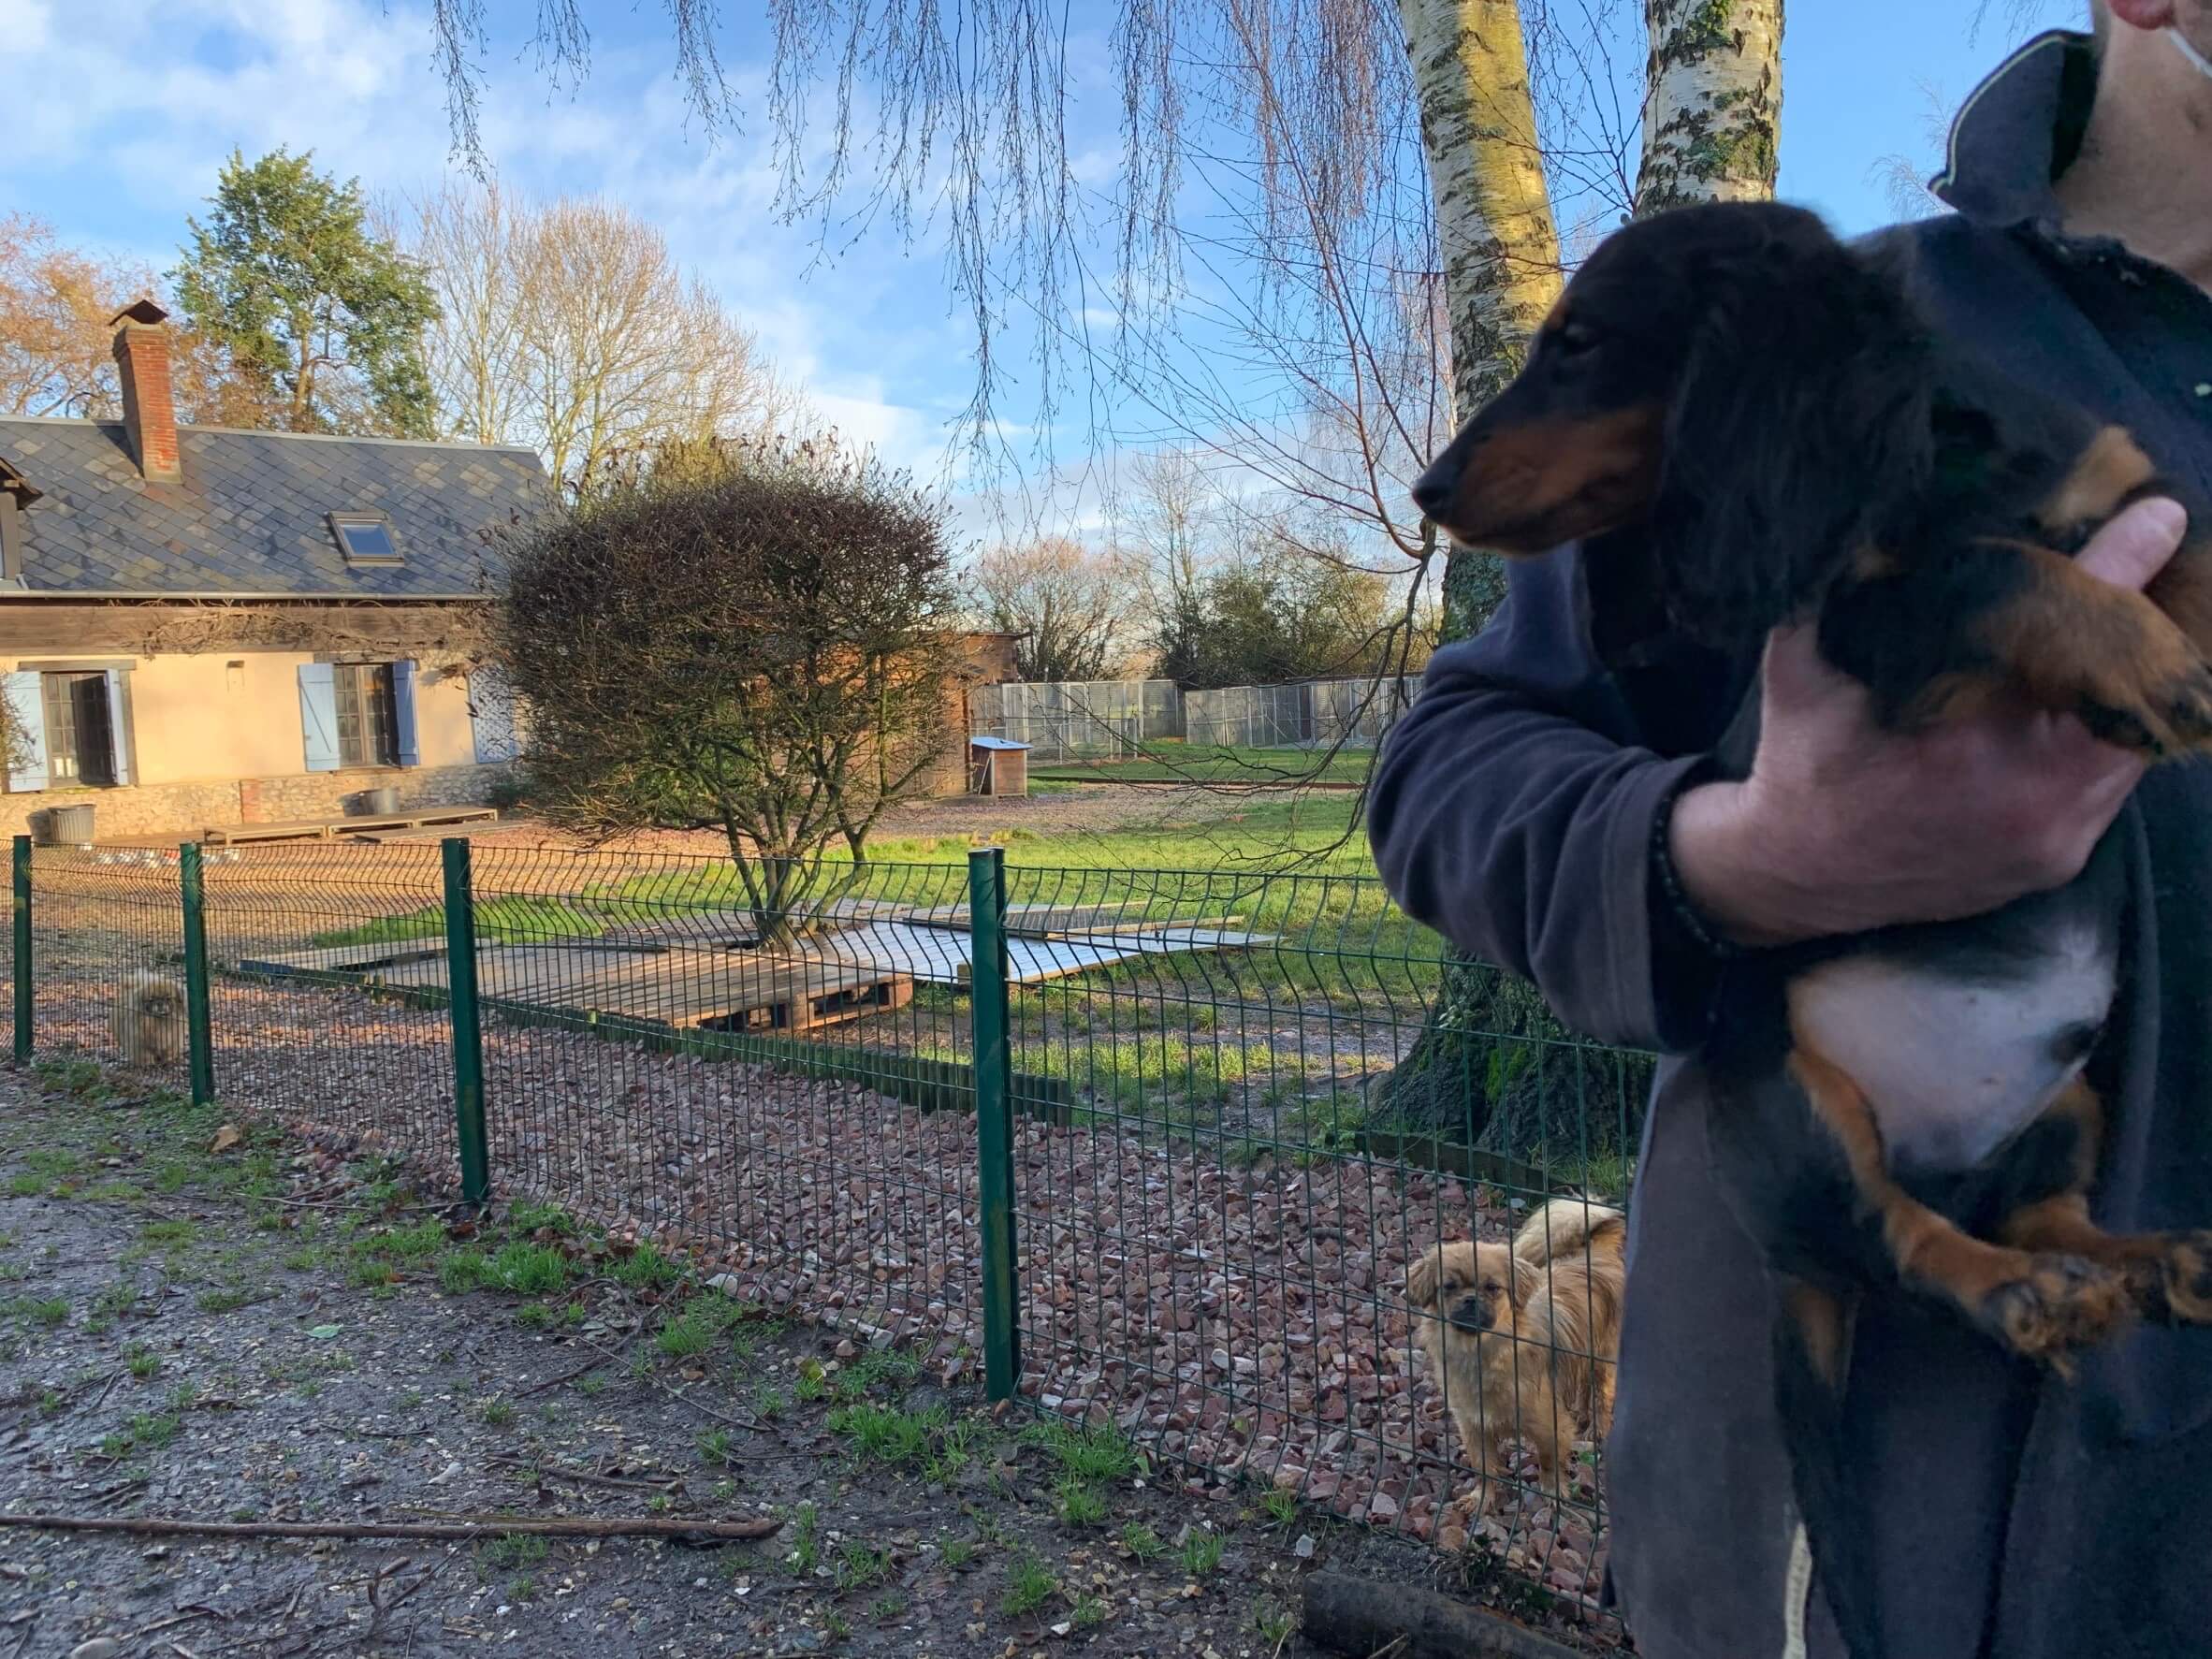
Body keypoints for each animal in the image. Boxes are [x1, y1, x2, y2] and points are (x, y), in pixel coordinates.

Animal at [1415, 1203, 1627, 1512]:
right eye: (1449, 1287)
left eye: (1492, 1288)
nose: (1470, 1299)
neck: (1482, 1353)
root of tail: (1597, 1253)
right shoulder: (1474, 1426)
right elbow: (1484, 1467)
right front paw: (1482, 1499)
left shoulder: (1549, 1426)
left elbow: (1549, 1463)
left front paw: (1553, 1496)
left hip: (1602, 1358)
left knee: (1601, 1393)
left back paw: (1596, 1431)